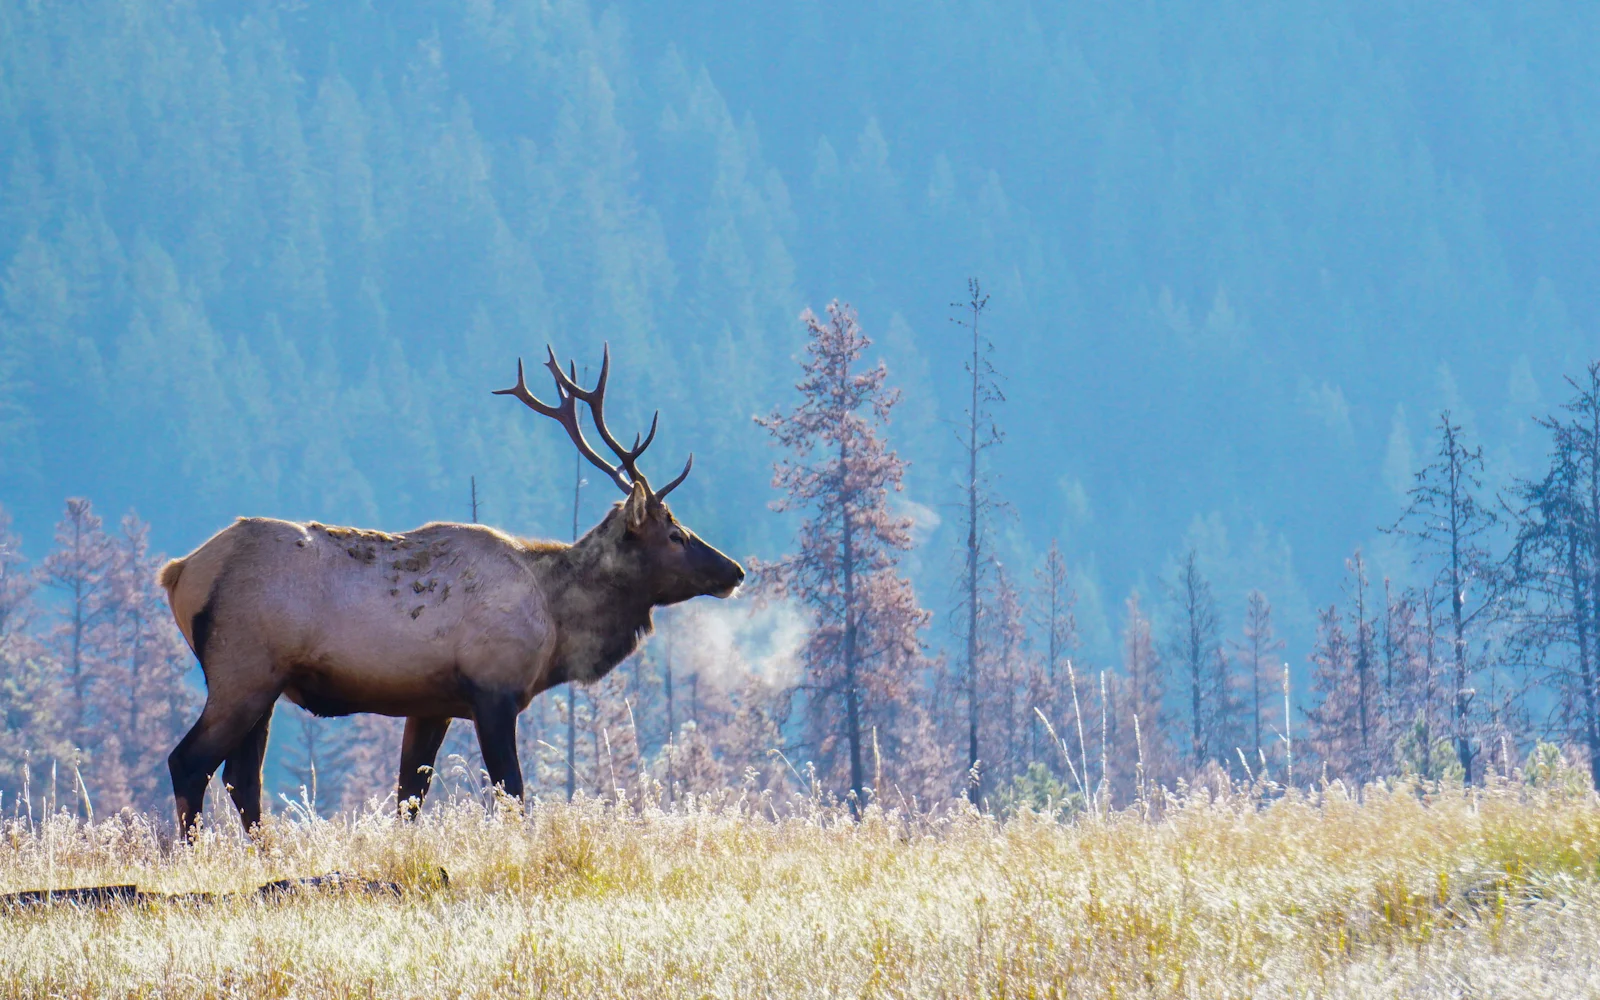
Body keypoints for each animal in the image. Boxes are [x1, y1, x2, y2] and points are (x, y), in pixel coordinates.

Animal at [158, 346, 745, 835]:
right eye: (674, 533)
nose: (734, 571)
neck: (556, 623)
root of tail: (179, 572)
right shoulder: (494, 689)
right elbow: (513, 794)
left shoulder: (430, 704)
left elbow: (409, 798)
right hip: (242, 670)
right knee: (190, 762)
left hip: (266, 684)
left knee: (241, 777)